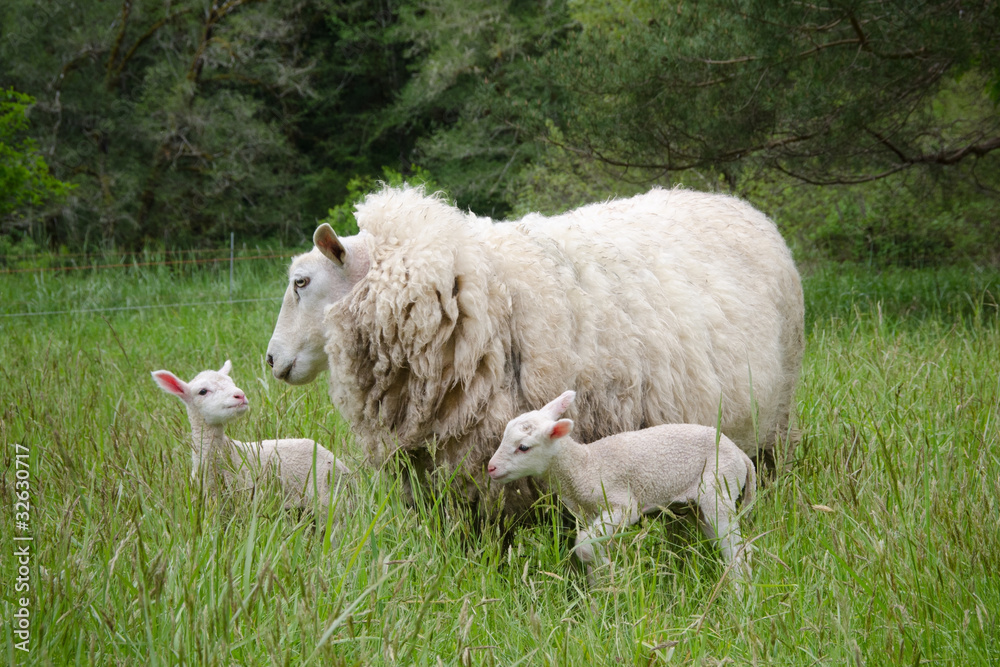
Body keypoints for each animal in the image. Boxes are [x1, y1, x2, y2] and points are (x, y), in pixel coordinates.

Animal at [488, 391, 756, 585]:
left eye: (523, 447)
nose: (491, 468)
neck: (584, 465)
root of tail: (742, 456)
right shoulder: (591, 513)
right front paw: (601, 591)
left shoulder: (623, 505)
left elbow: (584, 544)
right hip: (700, 506)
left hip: (719, 488)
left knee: (736, 549)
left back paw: (740, 594)